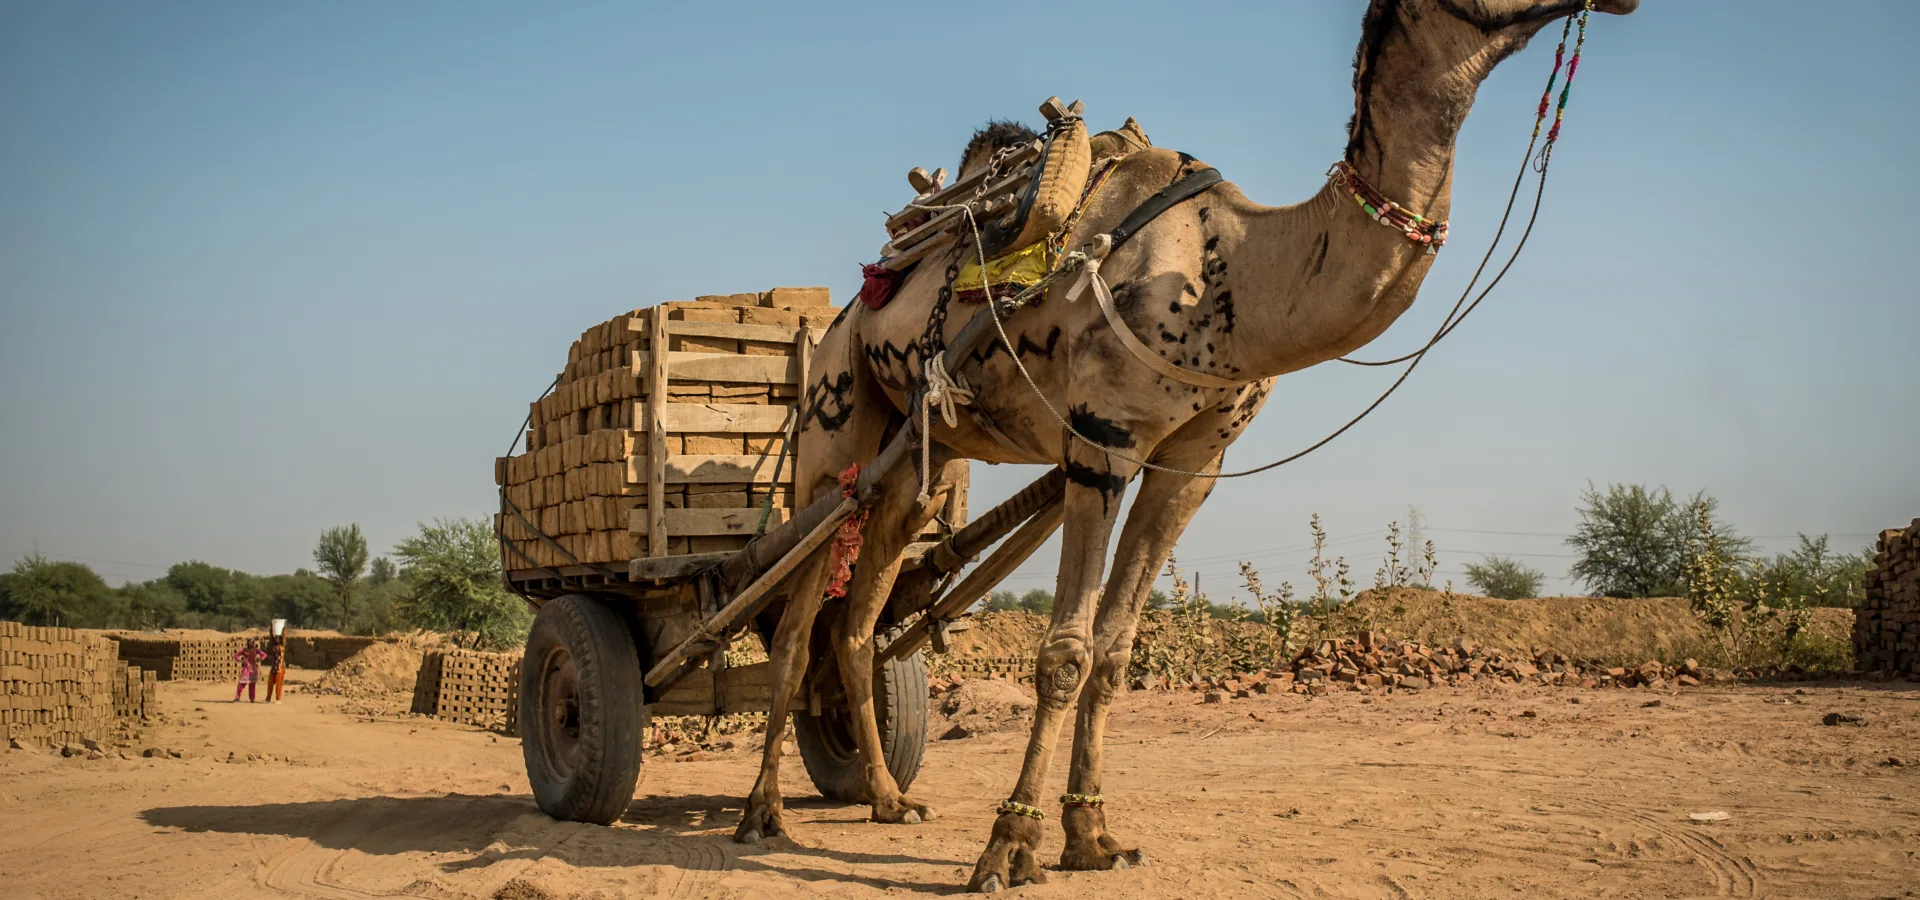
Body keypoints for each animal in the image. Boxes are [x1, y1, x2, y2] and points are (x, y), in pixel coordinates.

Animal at [734, 0, 1639, 891]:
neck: (1228, 270)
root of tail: (848, 309)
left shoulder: (1193, 463)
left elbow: (1114, 651)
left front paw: (1093, 838)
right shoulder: (1101, 438)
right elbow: (1064, 652)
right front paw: (1009, 848)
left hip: (919, 461)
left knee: (858, 622)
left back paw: (889, 800)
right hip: (832, 430)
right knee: (793, 623)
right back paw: (761, 813)